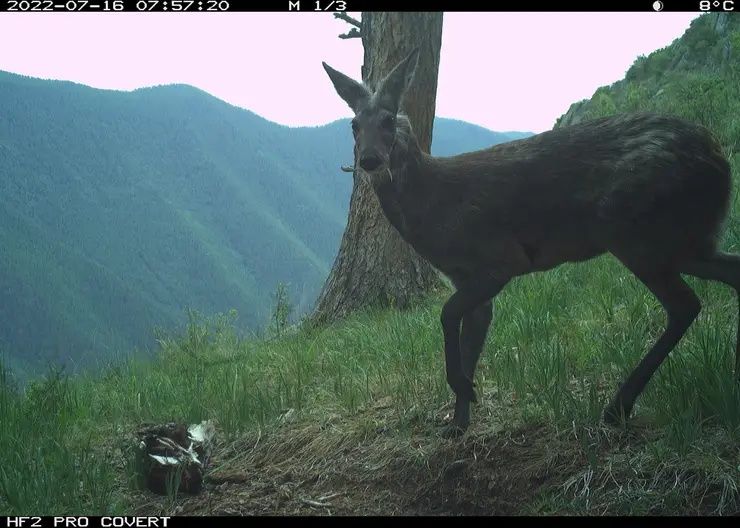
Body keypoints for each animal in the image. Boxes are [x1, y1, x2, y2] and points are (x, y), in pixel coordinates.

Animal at [322, 47, 740, 436]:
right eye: (354, 124)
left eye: (388, 119)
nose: (371, 160)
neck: (434, 206)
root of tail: (717, 154)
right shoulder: (467, 278)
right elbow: (469, 338)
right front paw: (458, 422)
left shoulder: (500, 258)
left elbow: (446, 314)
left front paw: (465, 389)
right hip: (682, 241)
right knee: (725, 275)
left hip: (634, 230)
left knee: (685, 305)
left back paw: (616, 407)